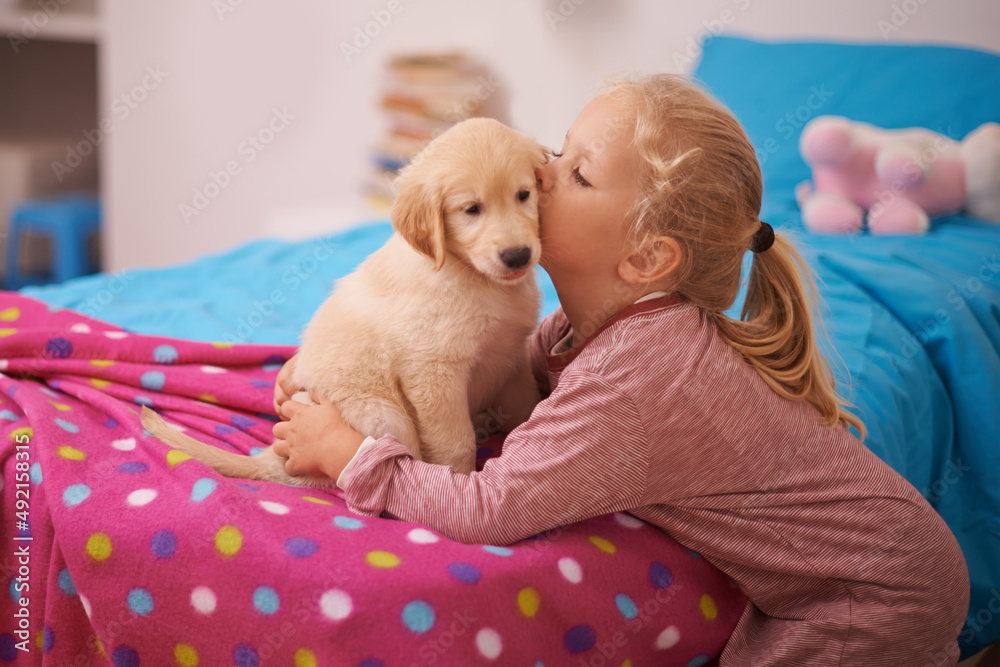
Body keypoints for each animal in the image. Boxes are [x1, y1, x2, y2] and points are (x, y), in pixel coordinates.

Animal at [141, 117, 548, 488]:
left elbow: (527, 408)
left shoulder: (512, 357)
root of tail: (271, 458)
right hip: (387, 415)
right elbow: (454, 442)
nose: (517, 256)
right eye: (471, 209)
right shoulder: (433, 371)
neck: (475, 278)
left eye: (523, 195)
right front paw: (457, 481)